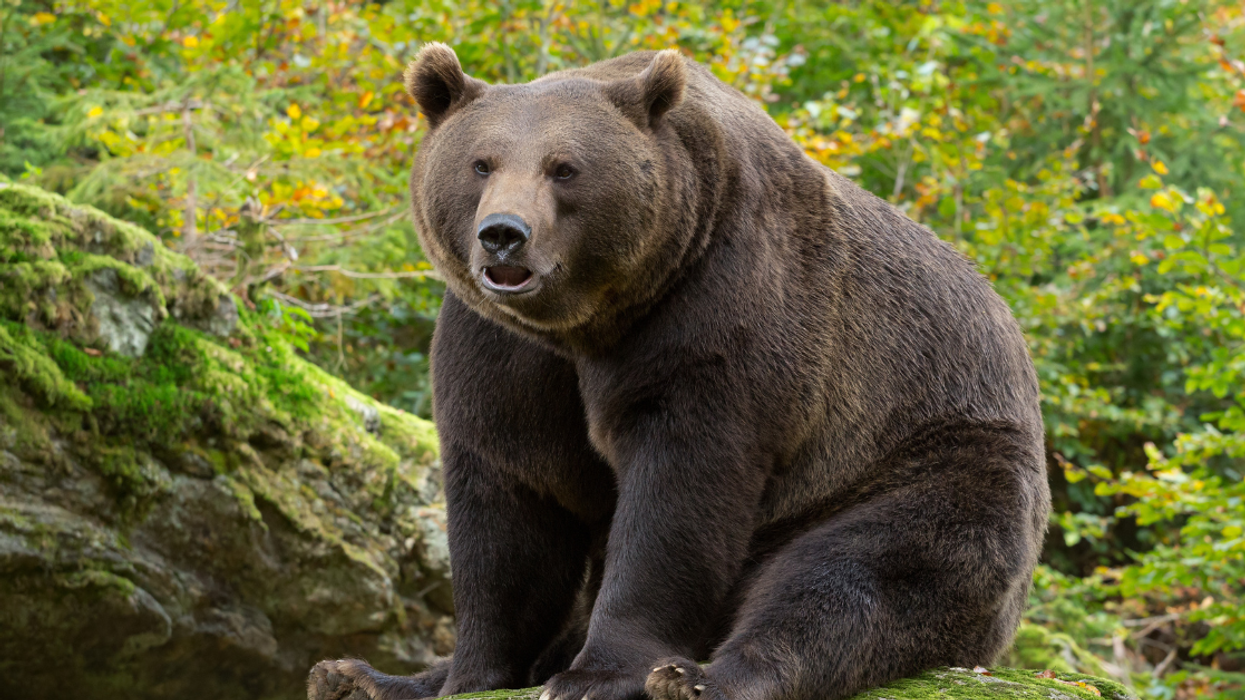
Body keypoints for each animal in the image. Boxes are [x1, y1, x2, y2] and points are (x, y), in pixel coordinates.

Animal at [308, 44, 1050, 700]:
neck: (589, 320)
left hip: (923, 457)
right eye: (480, 163)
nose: (504, 235)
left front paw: (595, 674)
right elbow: (512, 496)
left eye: (564, 167)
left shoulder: (719, 307)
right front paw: (465, 674)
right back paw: (358, 676)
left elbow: (679, 489)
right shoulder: (504, 351)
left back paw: (699, 677)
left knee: (853, 576)